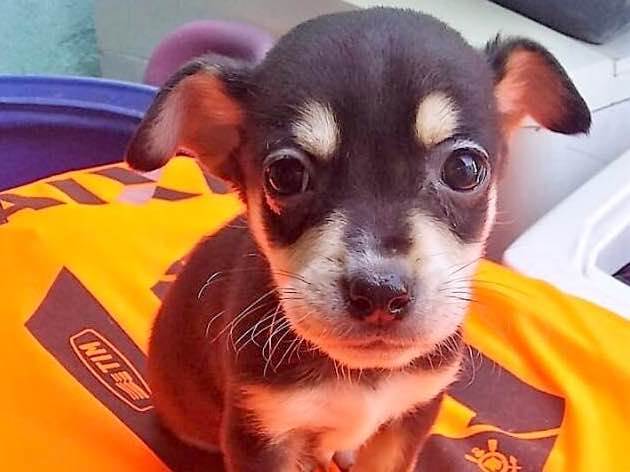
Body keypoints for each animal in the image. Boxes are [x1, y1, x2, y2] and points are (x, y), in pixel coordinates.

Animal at [125, 7, 590, 471]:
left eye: (464, 169)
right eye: (285, 175)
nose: (381, 291)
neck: (363, 377)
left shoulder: (409, 418)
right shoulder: (260, 432)